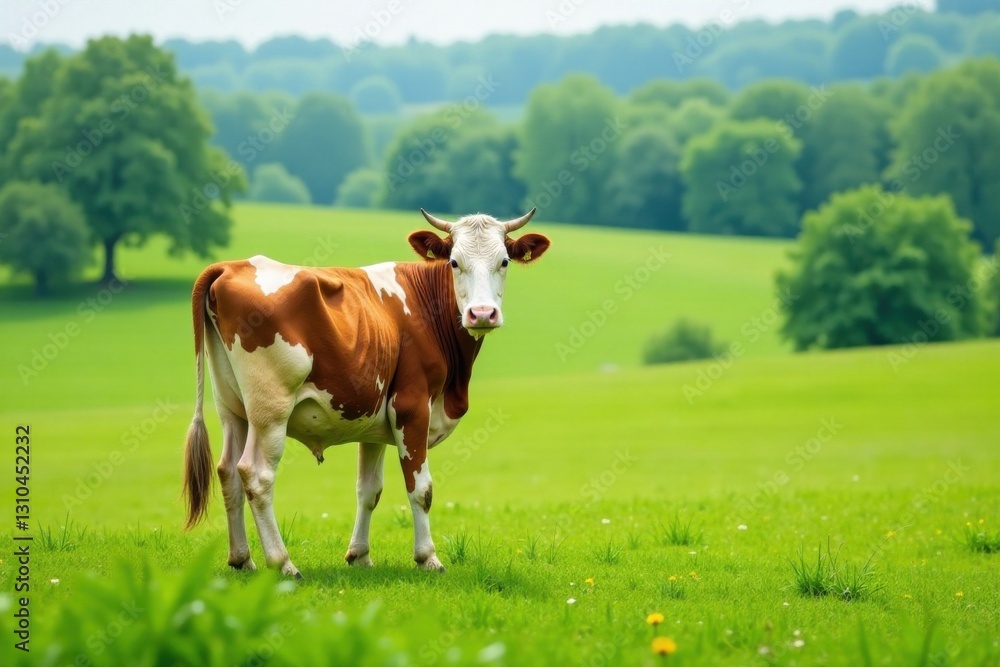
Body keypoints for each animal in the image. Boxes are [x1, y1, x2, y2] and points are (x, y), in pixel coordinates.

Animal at [182, 209, 550, 577]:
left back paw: (242, 559)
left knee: (228, 471)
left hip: (233, 408)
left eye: (504, 261)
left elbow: (369, 489)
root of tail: (231, 266)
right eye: (454, 262)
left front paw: (359, 555)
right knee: (256, 476)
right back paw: (282, 562)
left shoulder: (375, 422)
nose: (482, 314)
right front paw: (427, 557)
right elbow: (421, 489)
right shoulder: (412, 407)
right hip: (270, 410)